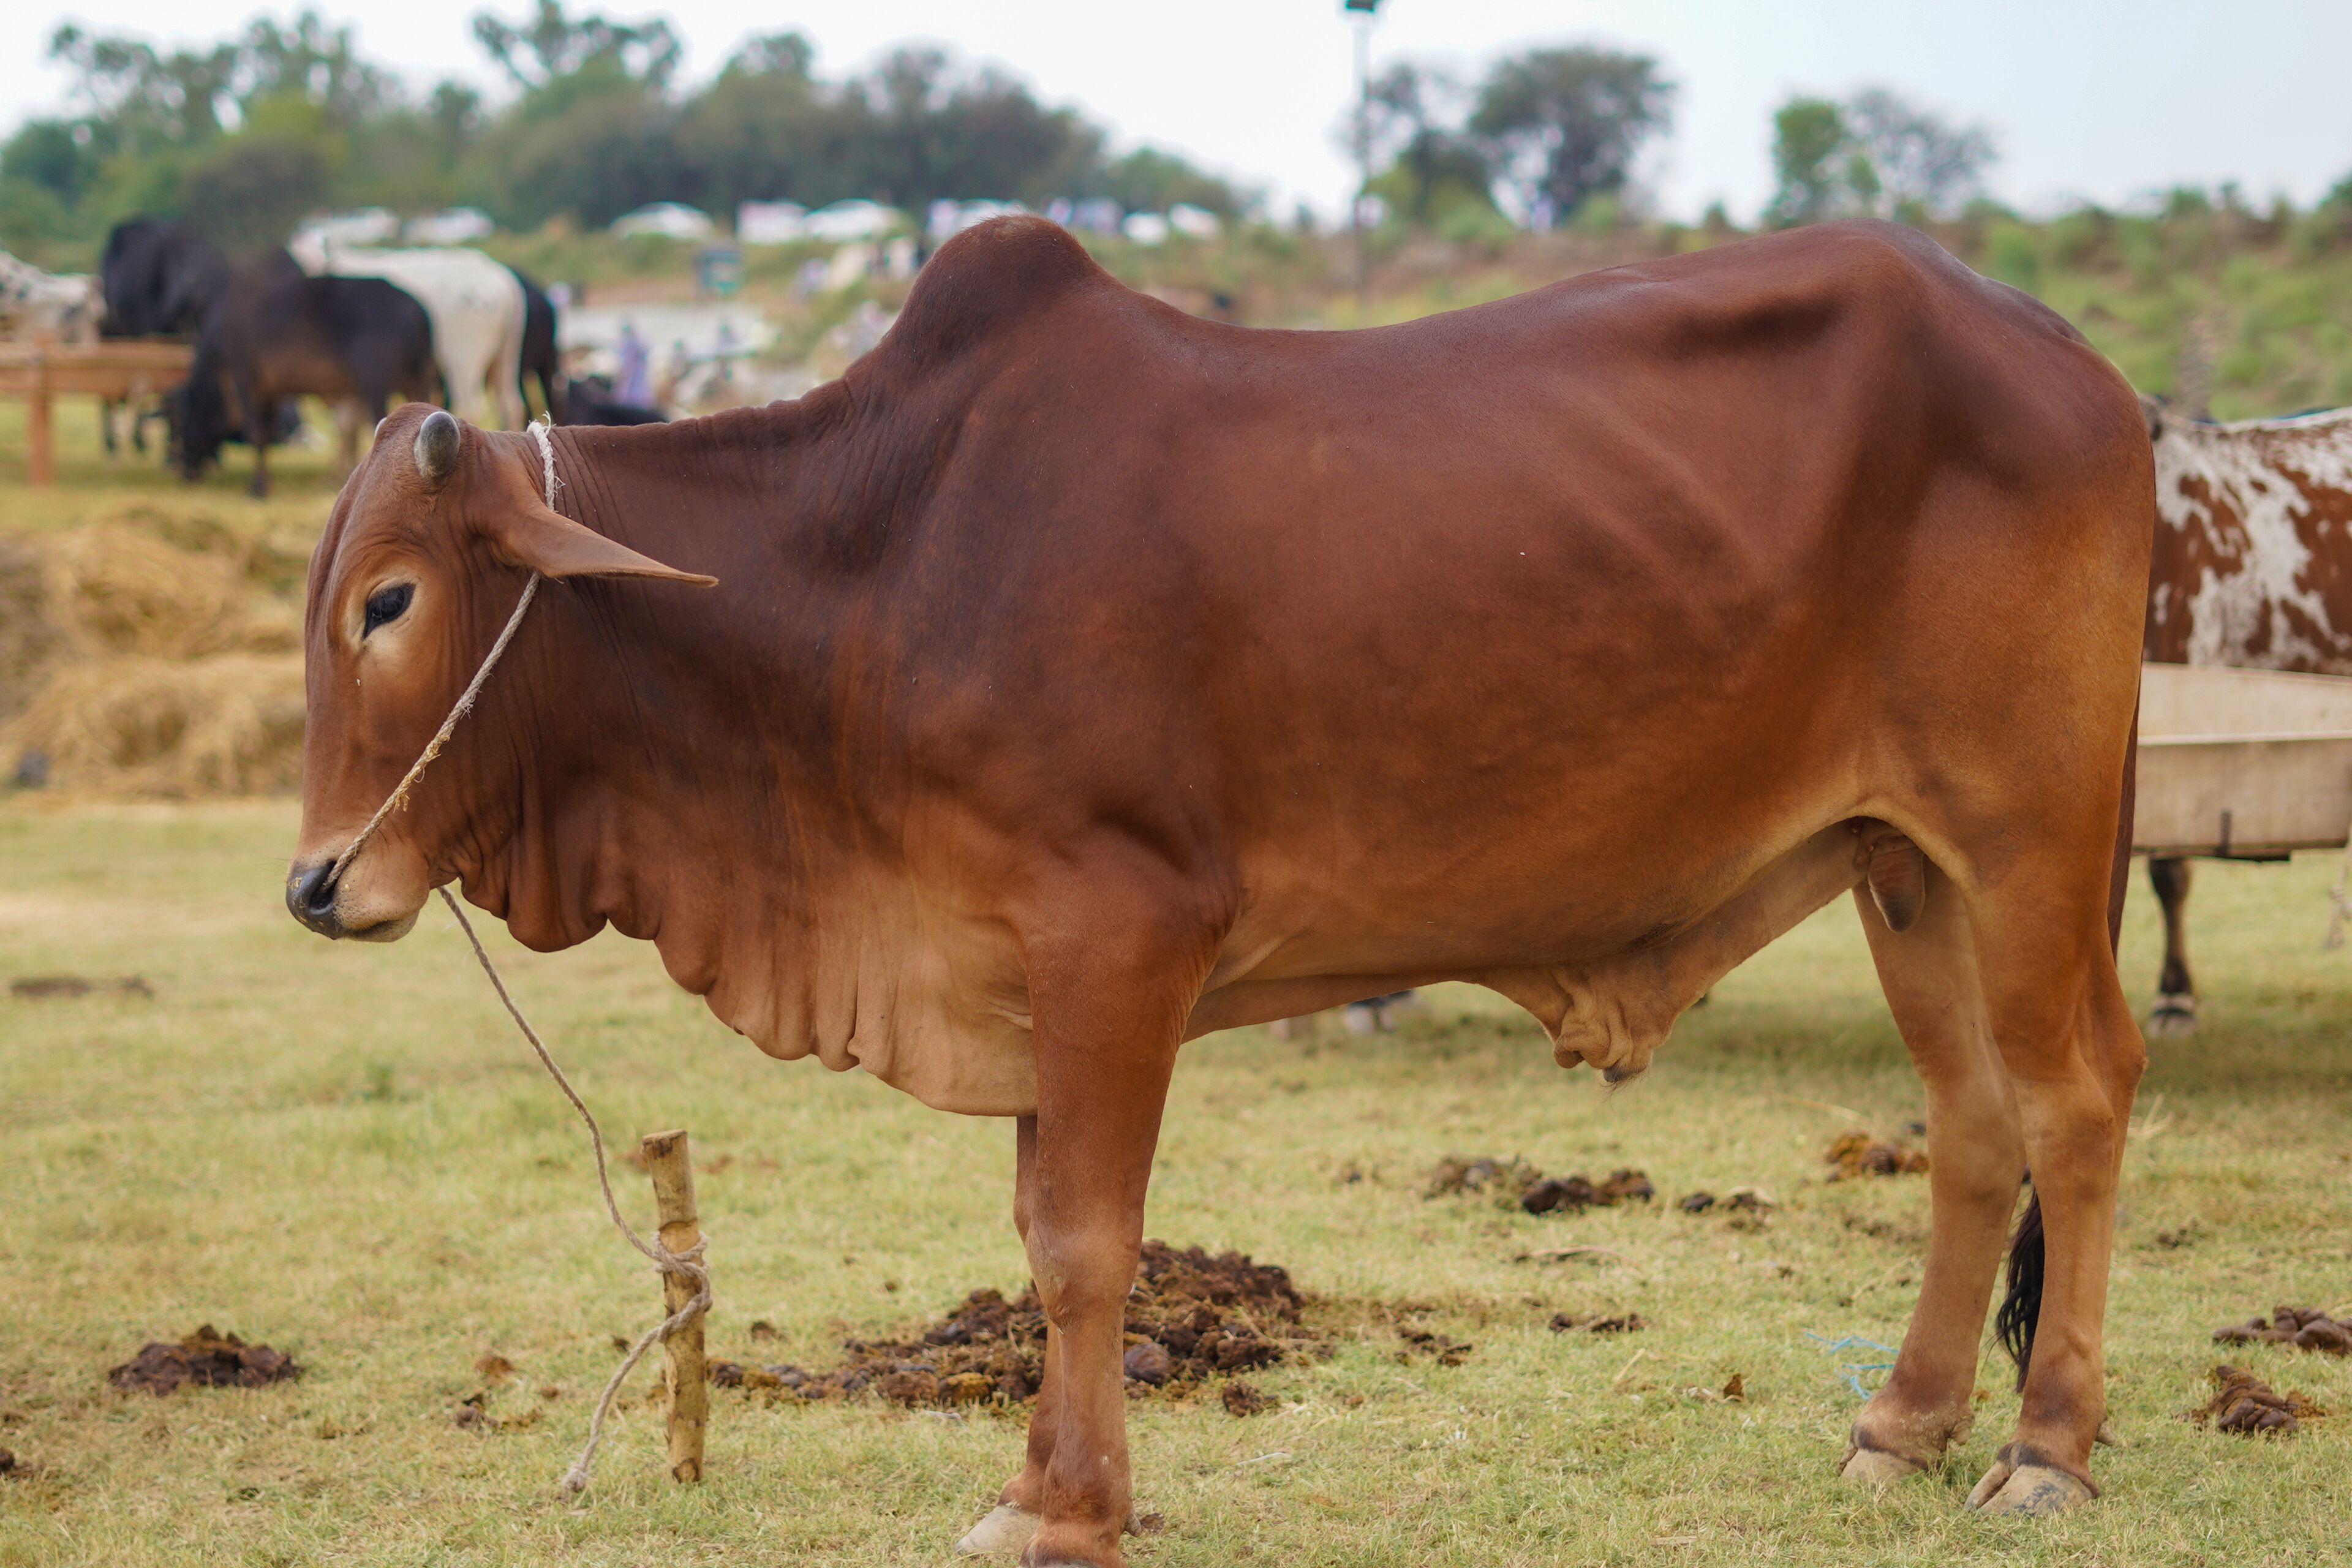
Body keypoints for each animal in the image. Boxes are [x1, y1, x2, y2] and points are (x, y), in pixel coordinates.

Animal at [175, 258, 437, 497]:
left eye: (182, 423)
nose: (186, 471)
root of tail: (417, 311)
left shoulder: (246, 380)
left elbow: (257, 433)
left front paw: (258, 487)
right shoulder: (271, 392)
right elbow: (267, 434)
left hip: (375, 384)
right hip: (417, 382)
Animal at [293, 234, 524, 430]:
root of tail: (499, 276)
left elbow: (348, 422)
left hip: (462, 359)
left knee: (472, 405)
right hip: (505, 360)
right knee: (511, 404)